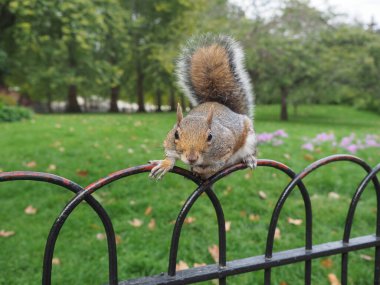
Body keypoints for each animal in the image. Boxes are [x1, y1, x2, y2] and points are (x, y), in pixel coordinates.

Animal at [150, 34, 256, 179]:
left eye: (210, 136)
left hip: (250, 139)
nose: (191, 158)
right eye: (176, 134)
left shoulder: (225, 149)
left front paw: (202, 170)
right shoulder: (170, 143)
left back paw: (249, 158)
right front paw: (165, 164)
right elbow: (170, 154)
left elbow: (216, 166)